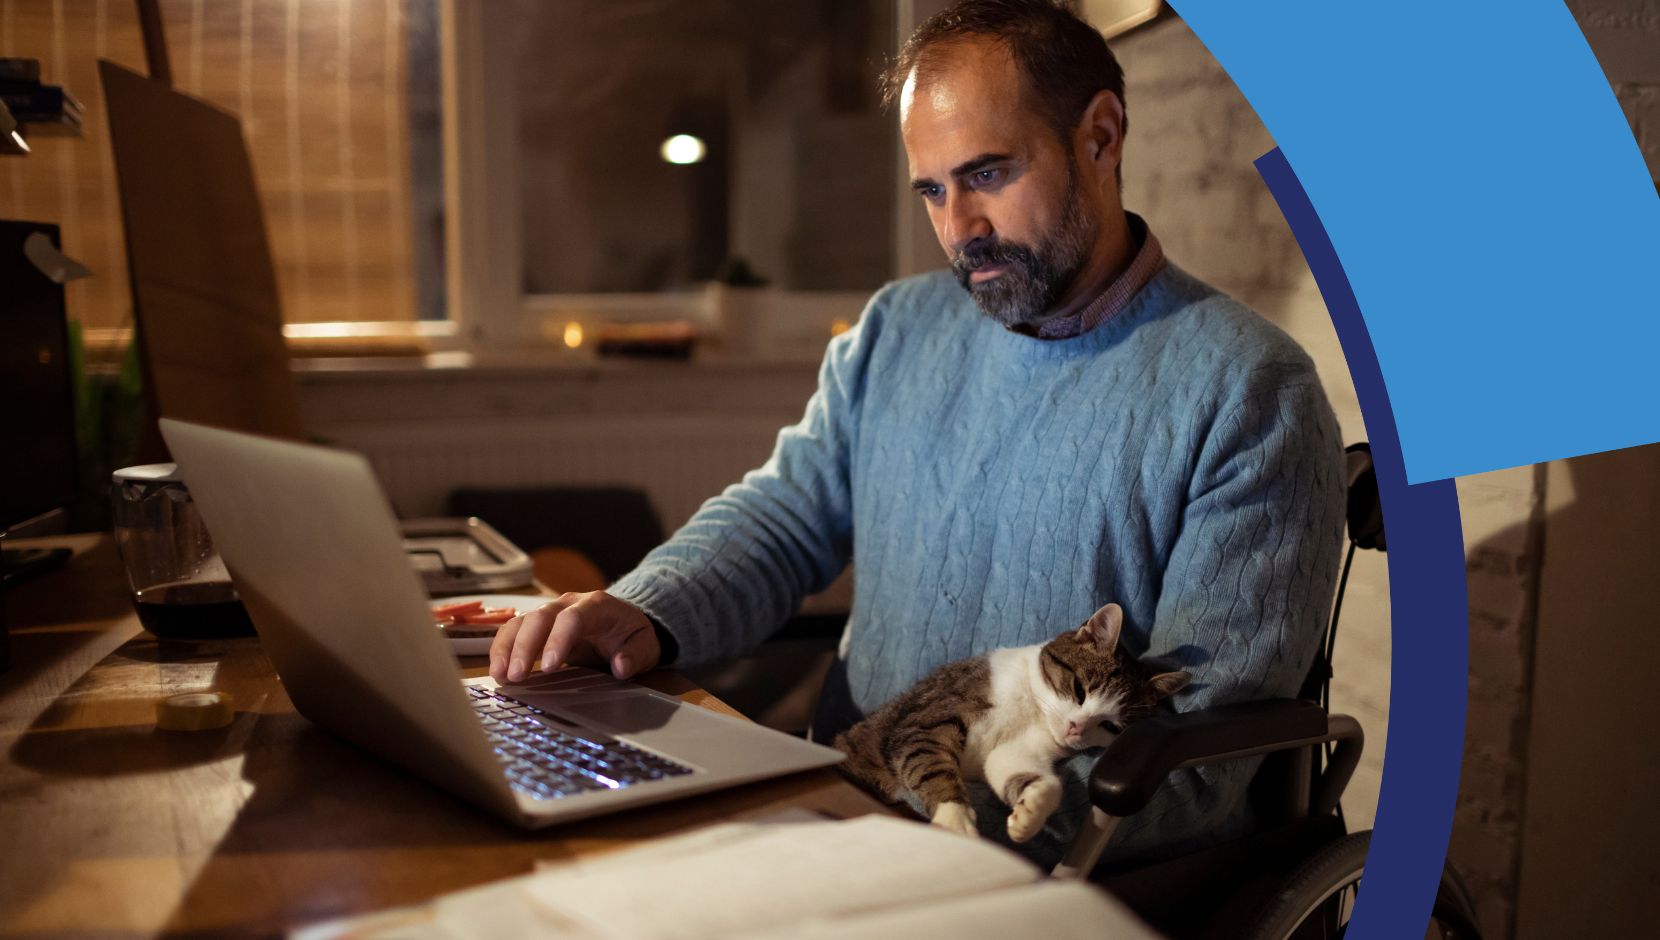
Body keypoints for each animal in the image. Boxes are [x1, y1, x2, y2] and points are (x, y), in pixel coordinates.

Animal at [836, 607, 1188, 843]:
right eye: (1079, 689)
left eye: (1112, 727)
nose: (1074, 727)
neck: (1032, 708)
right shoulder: (925, 722)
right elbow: (932, 768)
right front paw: (955, 820)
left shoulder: (1022, 747)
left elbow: (1017, 769)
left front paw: (1030, 811)